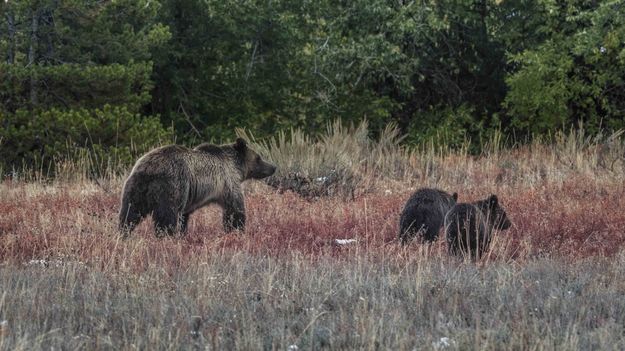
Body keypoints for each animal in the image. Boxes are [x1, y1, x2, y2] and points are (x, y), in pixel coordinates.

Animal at [119, 139, 276, 238]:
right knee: (167, 216)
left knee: (129, 214)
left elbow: (184, 217)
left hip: (136, 188)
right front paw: (236, 230)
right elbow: (235, 210)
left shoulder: (189, 199)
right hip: (171, 186)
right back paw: (165, 237)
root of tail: (149, 169)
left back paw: (123, 233)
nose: (273, 167)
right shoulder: (228, 182)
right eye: (259, 157)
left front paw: (183, 233)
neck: (236, 167)